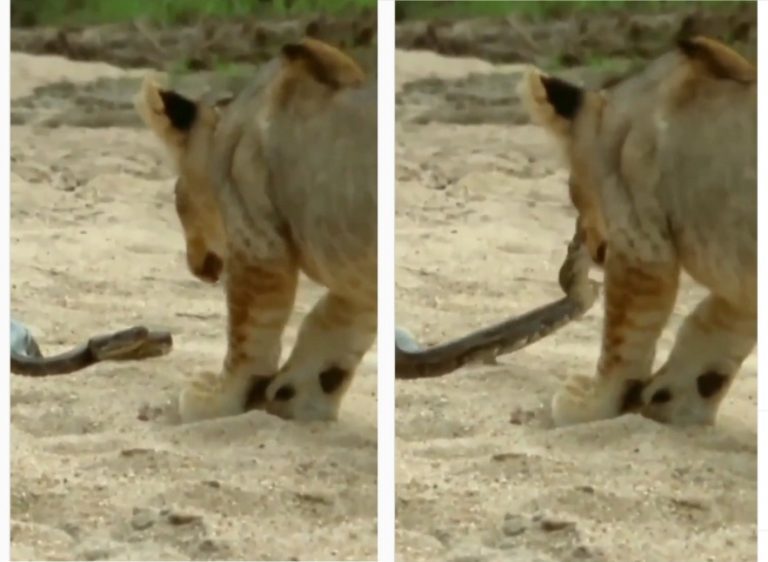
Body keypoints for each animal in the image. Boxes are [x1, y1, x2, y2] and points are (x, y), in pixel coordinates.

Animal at [134, 38, 377, 423]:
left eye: (177, 197)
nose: (195, 266)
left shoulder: (258, 247)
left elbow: (248, 336)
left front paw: (216, 399)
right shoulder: (357, 270)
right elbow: (333, 323)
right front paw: (296, 399)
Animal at [518, 34, 756, 427]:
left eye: (573, 192)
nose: (593, 250)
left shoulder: (639, 241)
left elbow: (624, 337)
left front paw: (591, 404)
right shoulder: (742, 282)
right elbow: (710, 328)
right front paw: (672, 403)